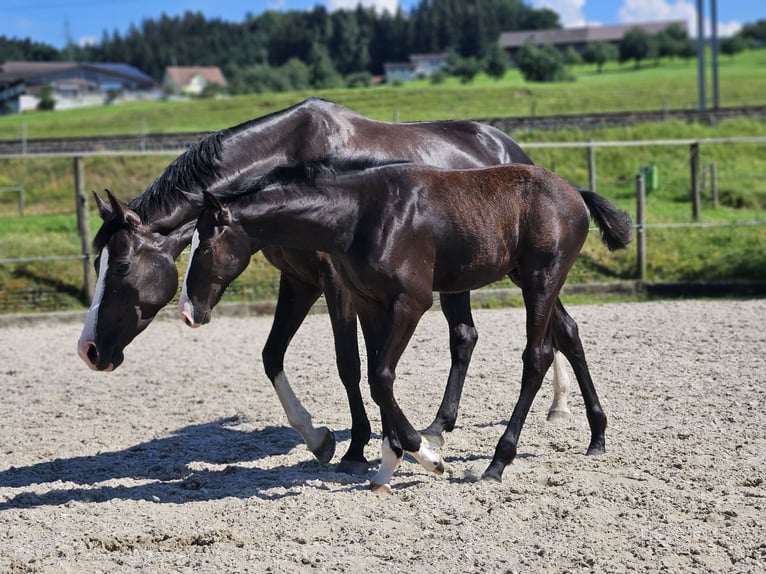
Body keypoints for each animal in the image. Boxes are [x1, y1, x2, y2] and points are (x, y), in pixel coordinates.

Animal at [79, 98, 576, 476]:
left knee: (547, 330)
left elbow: (350, 365)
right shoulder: (299, 280)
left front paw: (357, 448)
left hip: (515, 272)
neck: (290, 165)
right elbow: (274, 355)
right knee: (490, 334)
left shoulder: (338, 284)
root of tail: (512, 148)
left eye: (120, 264)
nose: (89, 350)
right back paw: (467, 421)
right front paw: (322, 439)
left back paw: (551, 412)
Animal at [182, 160, 636, 492]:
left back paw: (497, 462)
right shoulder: (371, 303)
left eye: (204, 246)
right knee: (569, 334)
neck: (361, 215)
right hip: (526, 277)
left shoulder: (411, 302)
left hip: (541, 280)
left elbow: (381, 376)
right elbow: (374, 375)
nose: (189, 311)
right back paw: (597, 437)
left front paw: (427, 456)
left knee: (536, 357)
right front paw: (387, 464)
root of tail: (575, 193)